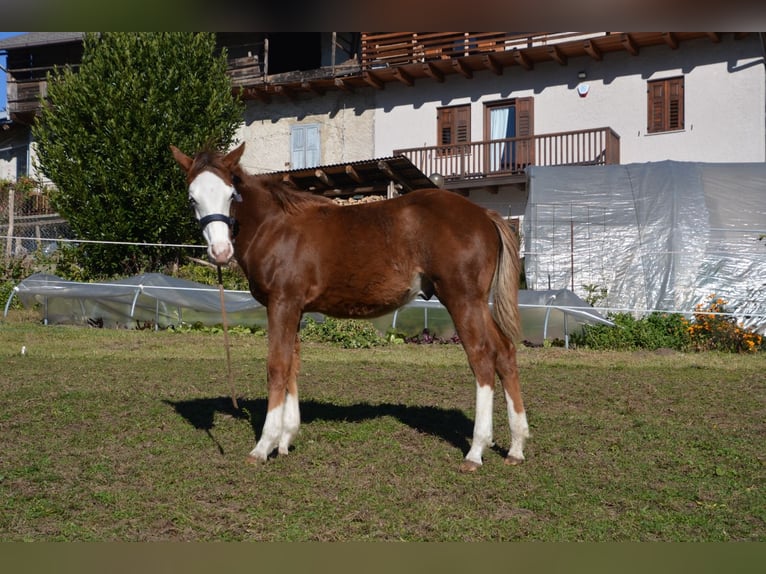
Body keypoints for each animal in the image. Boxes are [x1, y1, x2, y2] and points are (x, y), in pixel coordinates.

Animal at [170, 144, 528, 472]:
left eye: (231, 194)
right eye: (191, 198)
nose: (220, 251)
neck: (275, 226)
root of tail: (484, 215)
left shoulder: (282, 303)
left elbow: (277, 366)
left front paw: (263, 445)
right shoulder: (294, 308)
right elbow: (292, 365)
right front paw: (285, 440)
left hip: (462, 299)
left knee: (482, 357)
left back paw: (476, 451)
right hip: (477, 302)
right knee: (505, 352)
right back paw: (515, 446)